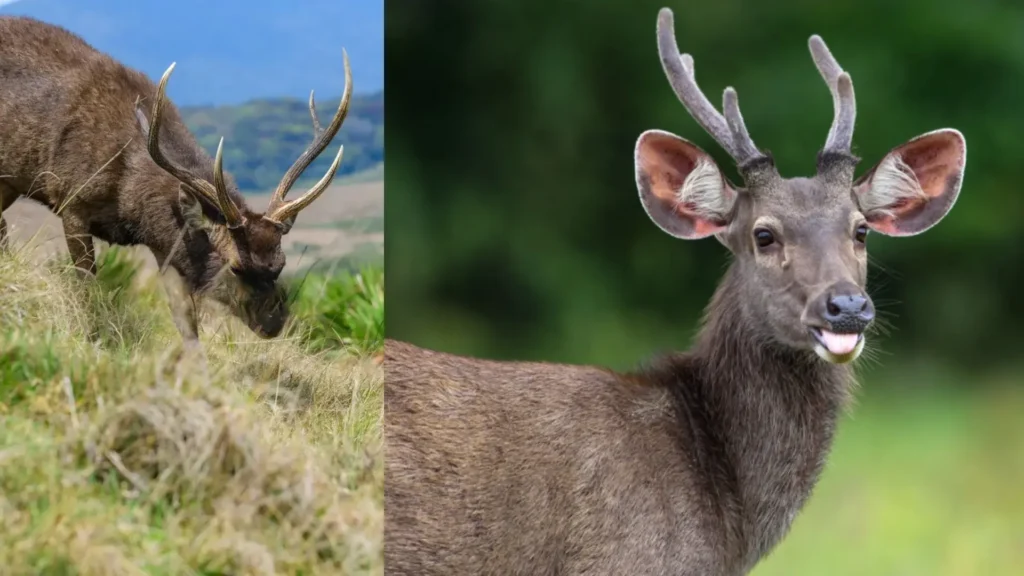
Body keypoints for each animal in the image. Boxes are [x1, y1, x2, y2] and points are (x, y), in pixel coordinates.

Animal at [0, 16, 352, 349]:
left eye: (281, 262)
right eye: (236, 266)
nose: (274, 321)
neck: (128, 199)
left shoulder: (164, 245)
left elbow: (185, 319)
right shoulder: (72, 200)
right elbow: (87, 287)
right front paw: (94, 339)